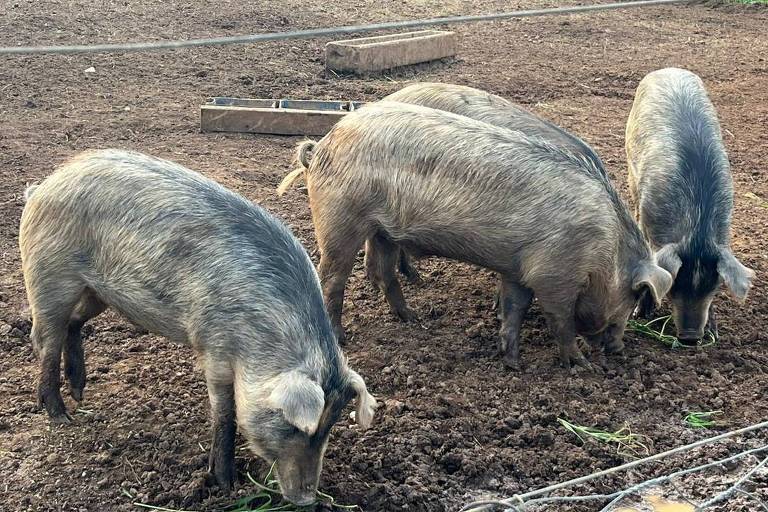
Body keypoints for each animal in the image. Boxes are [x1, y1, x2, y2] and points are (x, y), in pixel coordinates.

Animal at [19, 148, 376, 504]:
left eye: (330, 426)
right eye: (294, 427)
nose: (307, 499)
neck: (264, 334)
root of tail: (42, 188)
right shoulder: (213, 344)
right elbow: (225, 413)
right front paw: (226, 484)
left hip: (97, 292)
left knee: (73, 323)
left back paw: (79, 390)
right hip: (50, 276)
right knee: (46, 340)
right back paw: (61, 414)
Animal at [278, 102, 672, 370]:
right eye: (630, 300)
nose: (618, 349)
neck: (604, 250)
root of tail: (321, 146)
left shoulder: (518, 268)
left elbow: (514, 308)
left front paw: (511, 362)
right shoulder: (554, 273)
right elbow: (560, 320)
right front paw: (580, 364)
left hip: (383, 230)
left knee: (384, 273)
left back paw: (413, 319)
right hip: (340, 218)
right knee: (333, 278)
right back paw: (341, 337)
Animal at [628, 67, 752, 340]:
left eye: (714, 285)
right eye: (675, 284)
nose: (691, 338)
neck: (695, 223)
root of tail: (668, 69)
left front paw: (713, 331)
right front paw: (639, 315)